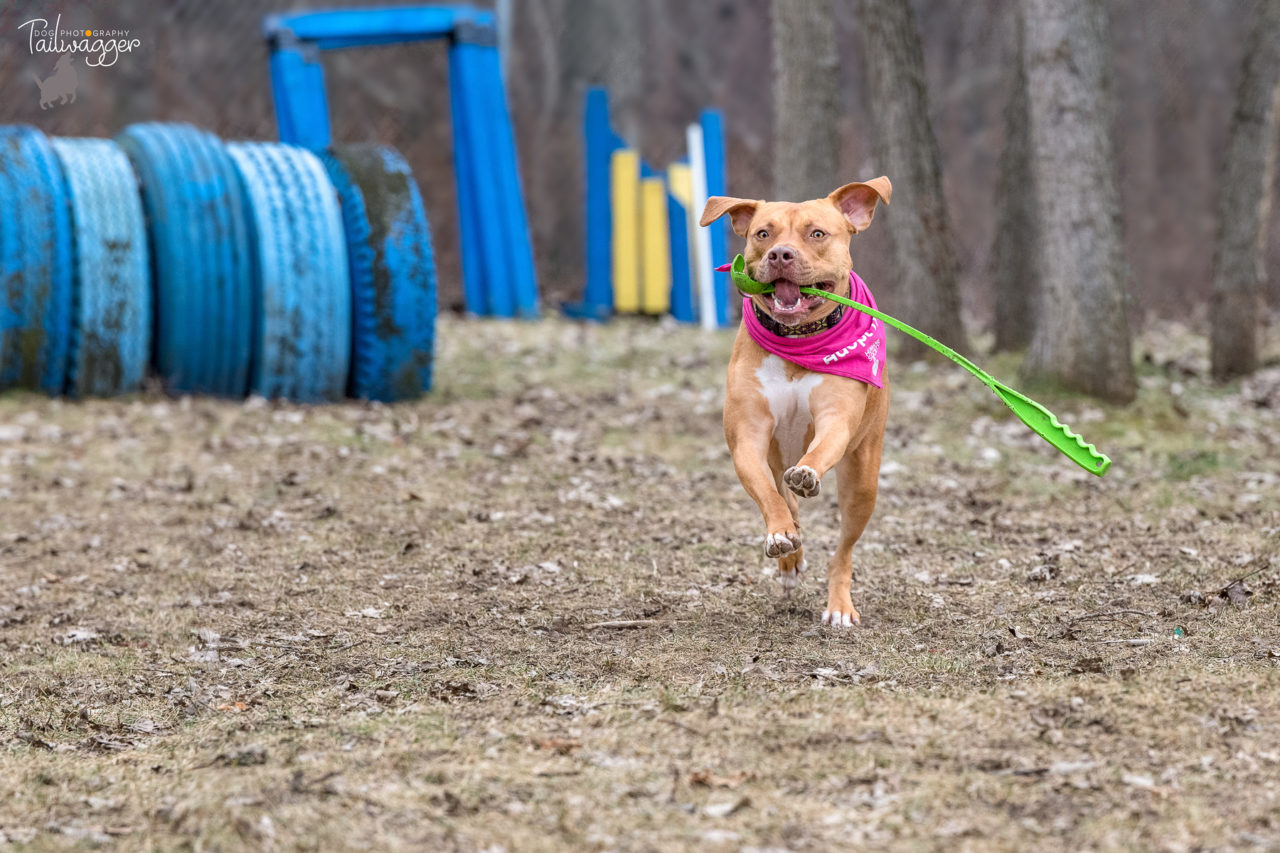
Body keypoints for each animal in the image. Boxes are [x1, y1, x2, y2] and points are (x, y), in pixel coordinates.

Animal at [701, 178, 890, 625]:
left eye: (816, 234)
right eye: (762, 234)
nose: (780, 254)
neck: (797, 340)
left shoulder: (836, 419)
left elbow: (819, 450)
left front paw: (807, 474)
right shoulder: (749, 438)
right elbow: (773, 500)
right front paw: (780, 535)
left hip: (863, 480)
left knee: (844, 549)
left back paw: (839, 606)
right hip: (775, 454)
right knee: (786, 501)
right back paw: (791, 556)